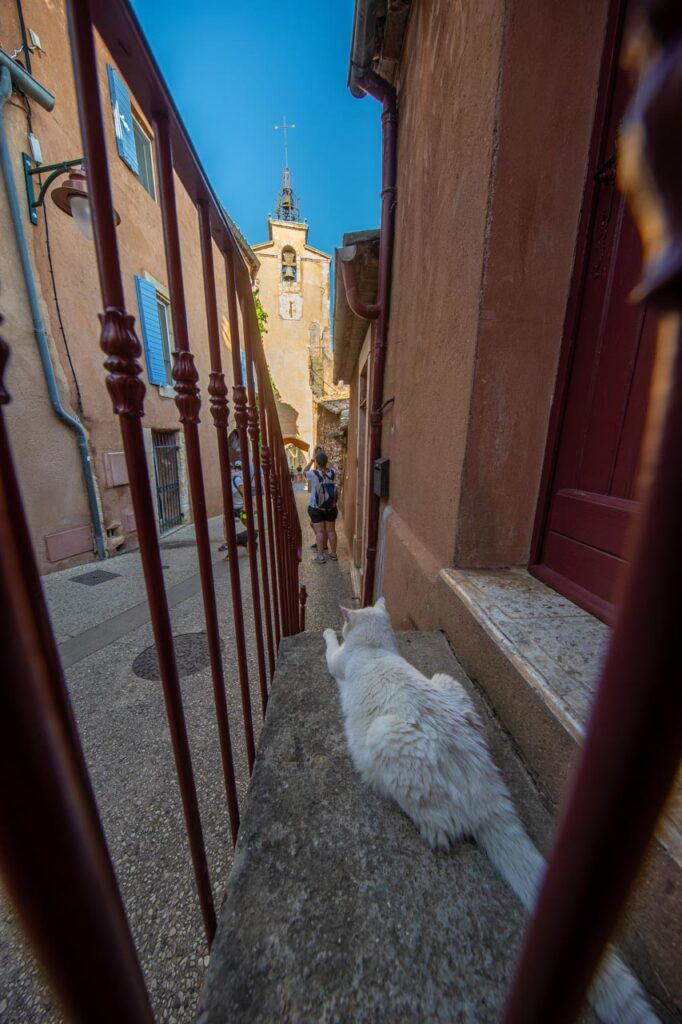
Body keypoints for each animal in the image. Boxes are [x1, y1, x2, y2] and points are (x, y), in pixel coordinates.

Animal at [323, 598, 659, 1024]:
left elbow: (329, 647)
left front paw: (327, 631)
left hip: (387, 739)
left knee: (440, 822)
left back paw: (430, 829)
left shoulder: (338, 662)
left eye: (346, 630)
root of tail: (481, 780)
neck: (375, 649)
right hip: (448, 682)